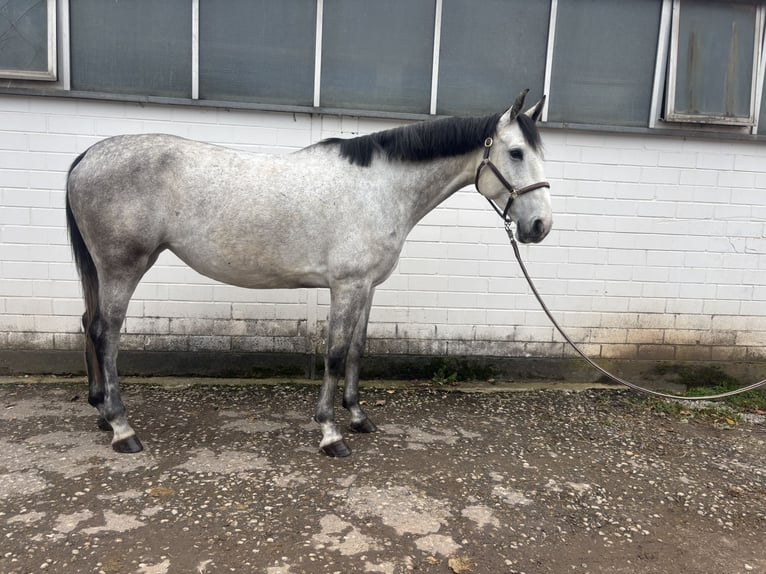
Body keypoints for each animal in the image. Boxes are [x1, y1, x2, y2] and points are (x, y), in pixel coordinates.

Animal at [65, 90, 552, 457]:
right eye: (515, 153)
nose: (539, 226)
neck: (379, 187)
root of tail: (88, 155)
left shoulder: (366, 286)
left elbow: (357, 350)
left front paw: (358, 417)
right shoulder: (347, 285)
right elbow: (334, 354)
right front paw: (330, 433)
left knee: (90, 324)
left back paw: (101, 412)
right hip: (123, 266)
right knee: (106, 333)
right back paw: (123, 429)